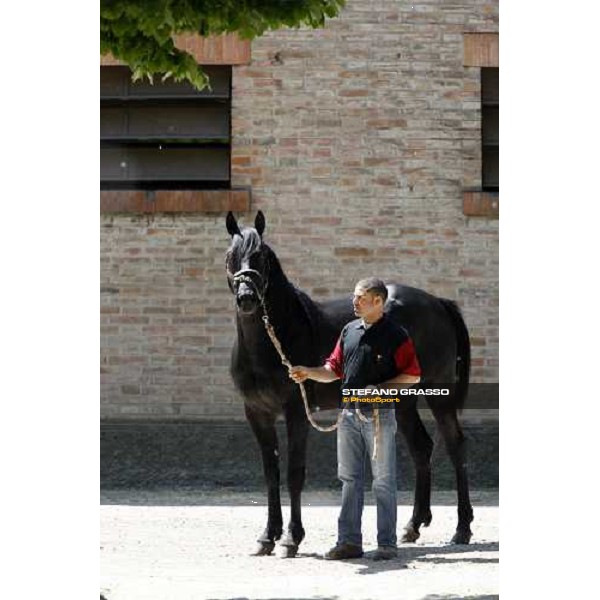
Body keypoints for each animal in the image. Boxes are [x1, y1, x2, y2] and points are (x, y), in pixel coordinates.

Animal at [225, 212, 474, 556]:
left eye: (261, 256)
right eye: (231, 256)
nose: (247, 298)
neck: (275, 340)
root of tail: (437, 302)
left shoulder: (297, 411)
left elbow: (294, 473)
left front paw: (291, 538)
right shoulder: (256, 413)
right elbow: (270, 474)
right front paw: (267, 537)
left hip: (440, 396)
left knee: (455, 446)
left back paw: (462, 529)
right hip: (403, 399)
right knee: (422, 447)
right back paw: (412, 526)